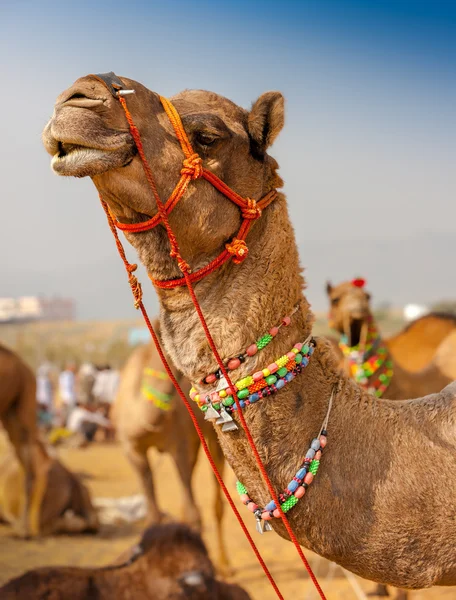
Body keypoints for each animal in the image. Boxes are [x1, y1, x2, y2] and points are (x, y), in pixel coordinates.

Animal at [112, 322, 230, 576]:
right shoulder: (132, 450)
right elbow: (153, 516)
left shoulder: (180, 445)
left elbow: (195, 512)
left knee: (216, 502)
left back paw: (225, 564)